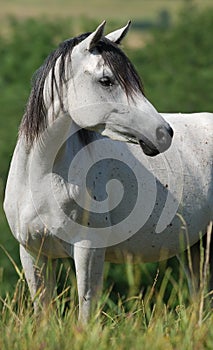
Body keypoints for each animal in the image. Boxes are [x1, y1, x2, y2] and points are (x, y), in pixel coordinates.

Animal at [3, 21, 213, 322]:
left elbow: (85, 312)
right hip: (195, 248)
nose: (163, 133)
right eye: (106, 81)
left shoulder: (88, 252)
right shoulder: (33, 254)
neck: (43, 179)